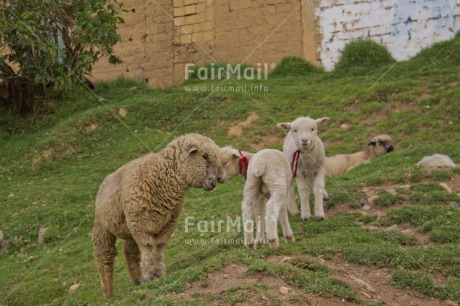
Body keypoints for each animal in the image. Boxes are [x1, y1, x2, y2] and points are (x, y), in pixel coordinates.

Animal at [92, 133, 221, 296]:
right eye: (204, 156)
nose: (214, 183)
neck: (160, 177)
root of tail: (107, 178)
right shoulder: (141, 224)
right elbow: (148, 249)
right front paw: (150, 275)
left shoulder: (167, 223)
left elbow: (158, 248)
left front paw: (158, 273)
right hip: (103, 226)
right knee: (104, 256)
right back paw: (108, 293)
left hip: (129, 228)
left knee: (130, 252)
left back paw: (138, 279)